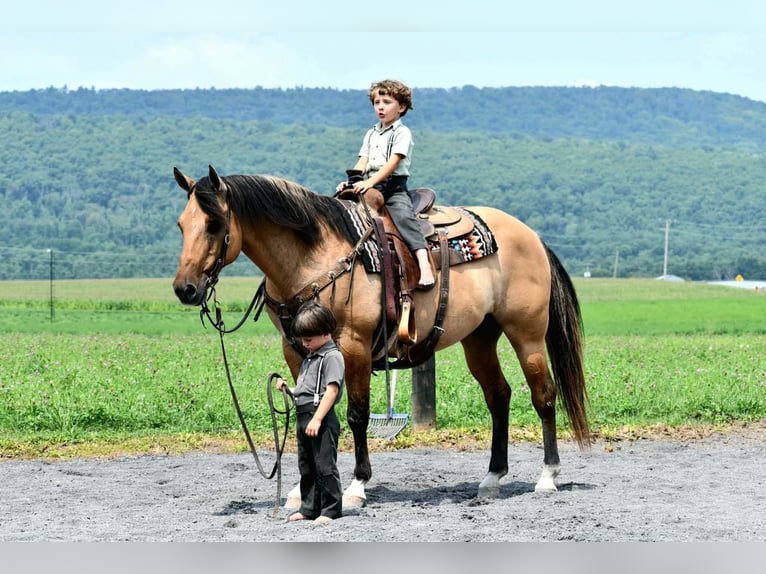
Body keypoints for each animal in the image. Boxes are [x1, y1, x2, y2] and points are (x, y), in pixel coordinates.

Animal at [172, 165, 590, 505]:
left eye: (214, 224)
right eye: (181, 224)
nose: (185, 289)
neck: (315, 256)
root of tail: (531, 235)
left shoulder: (355, 346)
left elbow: (357, 414)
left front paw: (357, 485)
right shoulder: (294, 350)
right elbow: (310, 410)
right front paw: (299, 488)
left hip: (527, 334)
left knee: (543, 395)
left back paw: (547, 477)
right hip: (479, 338)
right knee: (498, 397)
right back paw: (491, 478)